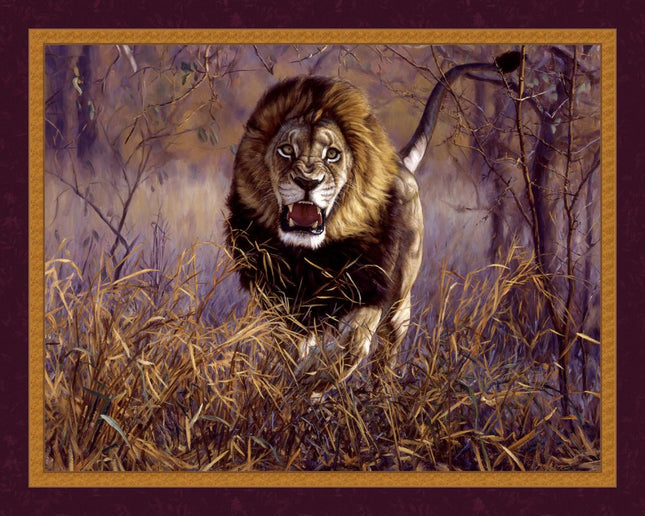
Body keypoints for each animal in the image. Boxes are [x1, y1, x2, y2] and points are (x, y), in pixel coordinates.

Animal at [226, 51, 520, 392]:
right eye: (286, 150)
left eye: (333, 154)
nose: (307, 182)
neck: (311, 255)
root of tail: (399, 163)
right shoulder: (283, 304)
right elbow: (289, 350)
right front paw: (289, 383)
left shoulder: (369, 293)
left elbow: (350, 345)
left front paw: (309, 380)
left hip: (400, 304)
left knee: (384, 356)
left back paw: (379, 394)